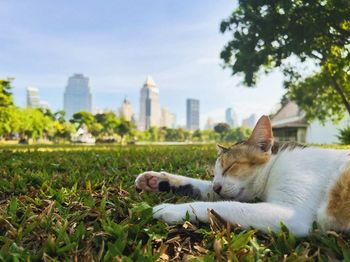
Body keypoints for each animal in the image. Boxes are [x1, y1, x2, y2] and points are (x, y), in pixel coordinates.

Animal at [135, 115, 350, 236]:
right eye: (215, 175)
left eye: (230, 167)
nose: (217, 186)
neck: (275, 165)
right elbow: (202, 188)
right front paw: (157, 180)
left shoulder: (290, 212)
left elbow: (226, 206)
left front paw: (170, 209)